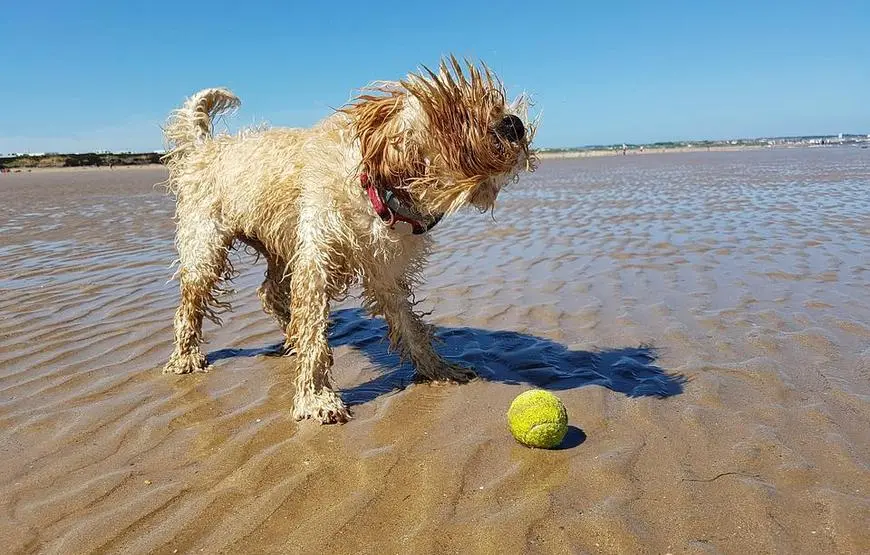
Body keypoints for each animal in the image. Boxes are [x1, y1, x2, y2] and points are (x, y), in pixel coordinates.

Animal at [160, 56, 536, 424]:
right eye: (457, 111)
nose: (514, 124)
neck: (377, 193)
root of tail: (206, 148)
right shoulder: (316, 262)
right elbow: (314, 330)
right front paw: (316, 397)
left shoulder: (384, 271)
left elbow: (409, 325)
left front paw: (437, 368)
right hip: (207, 248)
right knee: (191, 303)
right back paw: (186, 357)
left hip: (280, 243)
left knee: (269, 291)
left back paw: (289, 333)